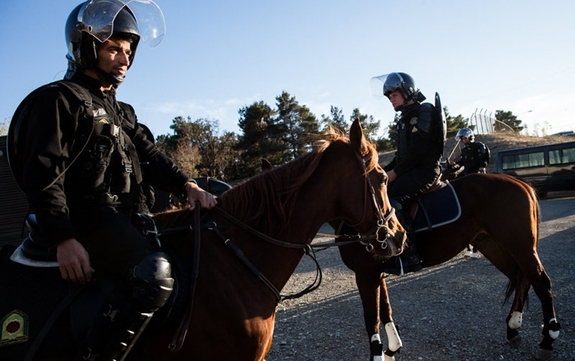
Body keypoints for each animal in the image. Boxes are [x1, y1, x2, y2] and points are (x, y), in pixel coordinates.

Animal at [338, 172, 564, 360]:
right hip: (494, 245)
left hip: (520, 247)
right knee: (520, 278)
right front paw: (392, 349)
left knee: (541, 282)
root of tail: (520, 182)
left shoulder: (366, 274)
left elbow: (372, 317)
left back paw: (547, 339)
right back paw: (513, 328)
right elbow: (385, 310)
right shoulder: (375, 272)